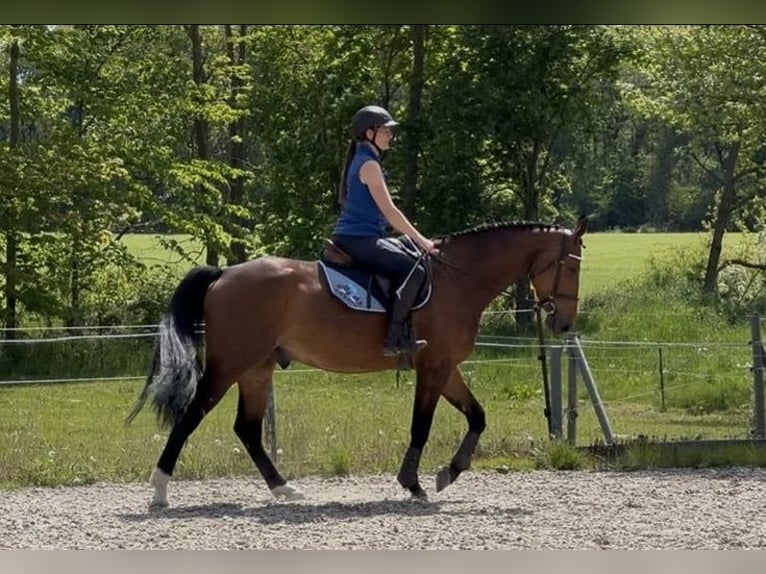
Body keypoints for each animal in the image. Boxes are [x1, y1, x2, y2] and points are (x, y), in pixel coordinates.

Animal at [128, 216, 588, 508]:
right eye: (570, 267)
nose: (564, 322)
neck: (458, 279)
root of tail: (224, 273)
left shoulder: (447, 367)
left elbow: (477, 416)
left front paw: (450, 473)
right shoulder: (433, 367)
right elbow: (421, 425)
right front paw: (414, 484)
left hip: (257, 369)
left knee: (248, 429)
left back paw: (283, 489)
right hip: (229, 365)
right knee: (190, 417)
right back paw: (160, 490)